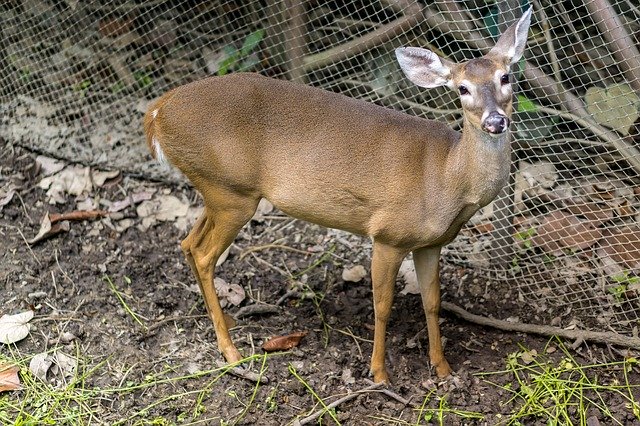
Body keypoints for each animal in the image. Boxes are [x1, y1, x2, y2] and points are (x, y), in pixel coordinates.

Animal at [144, 8, 528, 384]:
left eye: (505, 77)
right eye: (462, 88)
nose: (495, 121)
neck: (447, 177)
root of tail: (158, 111)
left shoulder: (431, 243)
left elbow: (432, 303)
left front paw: (443, 369)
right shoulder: (388, 233)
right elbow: (382, 306)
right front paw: (379, 373)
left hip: (219, 189)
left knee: (188, 243)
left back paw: (228, 321)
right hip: (231, 191)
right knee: (204, 254)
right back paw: (231, 351)